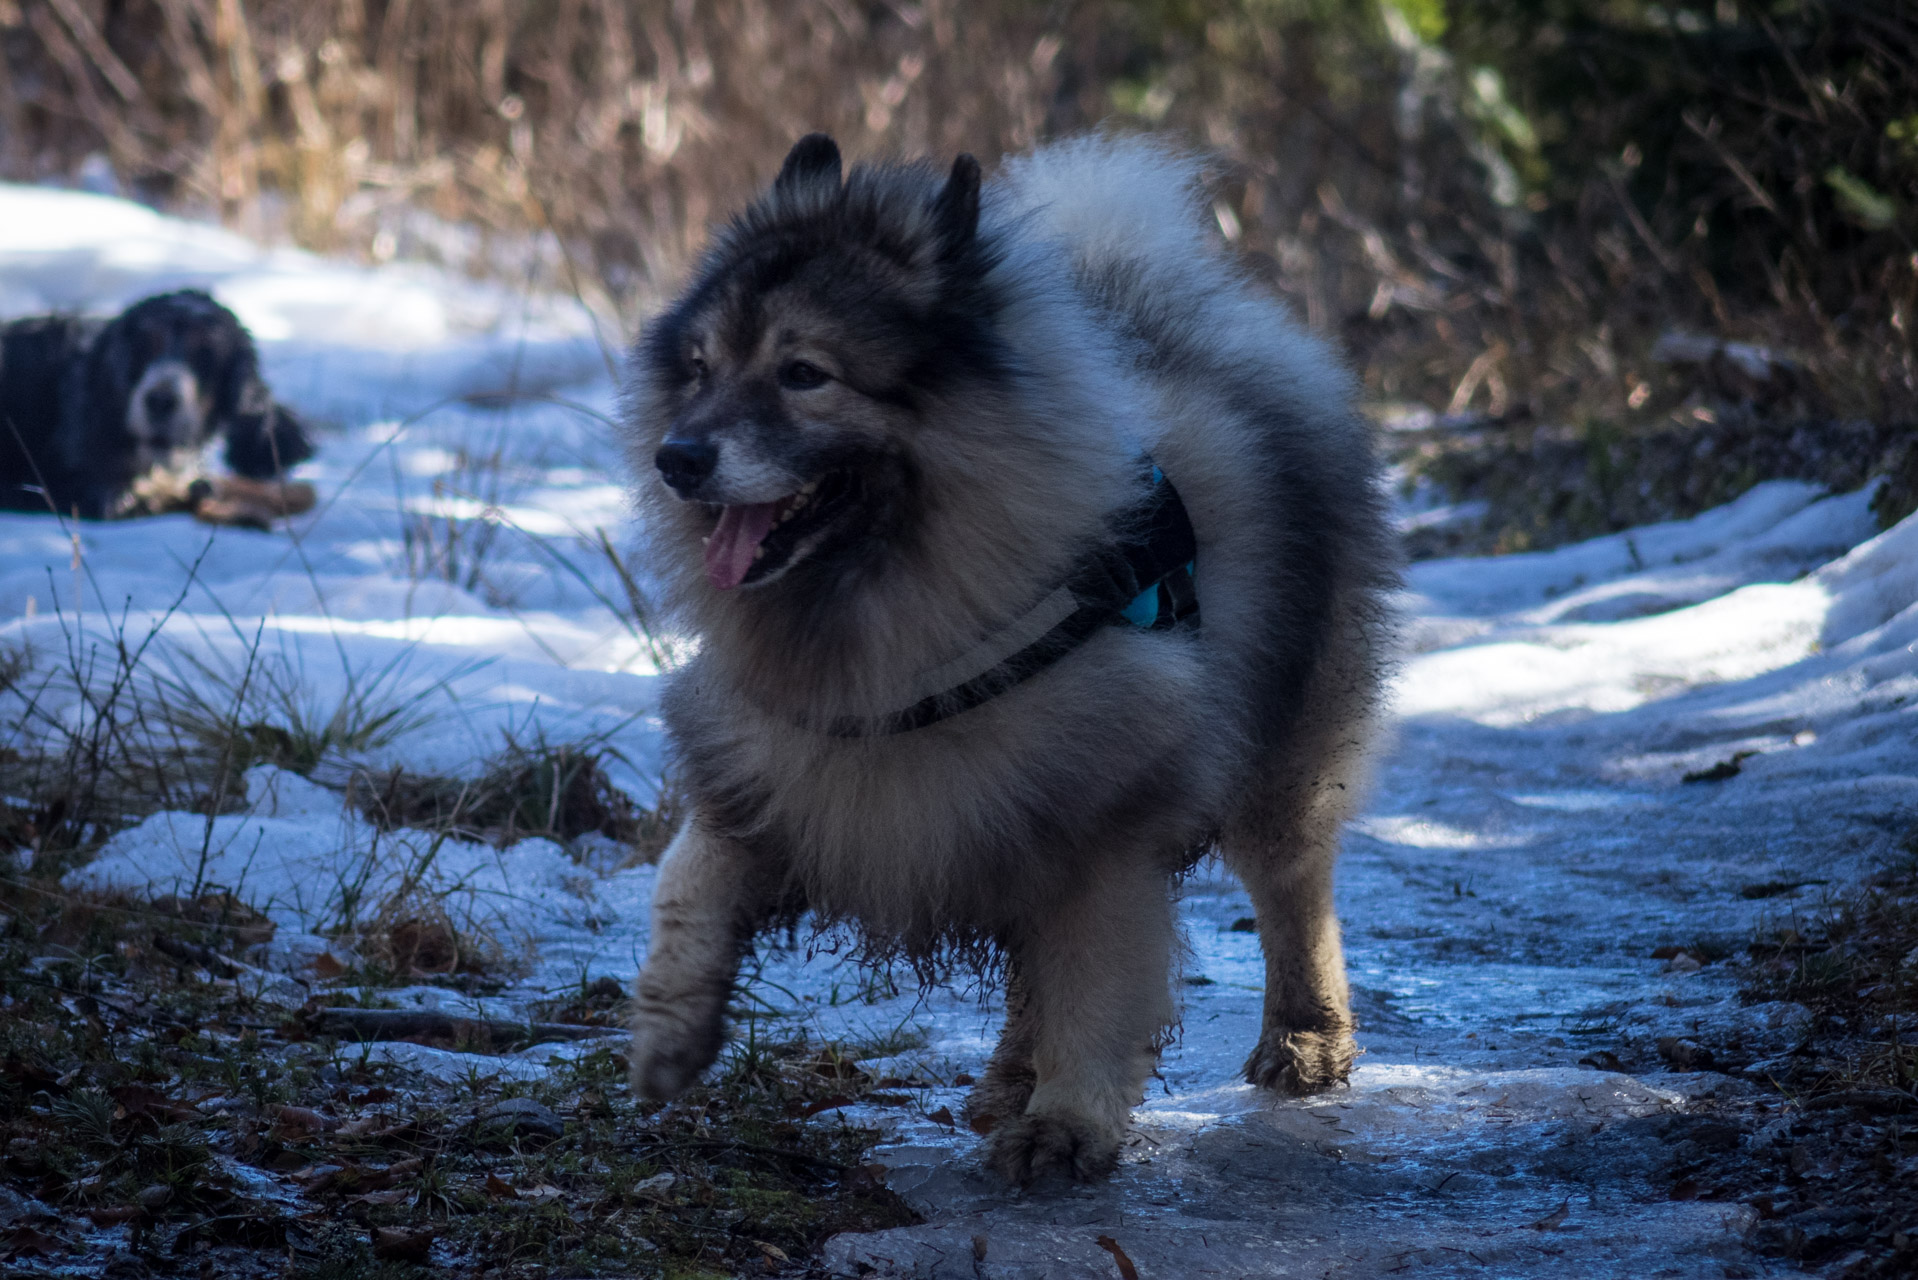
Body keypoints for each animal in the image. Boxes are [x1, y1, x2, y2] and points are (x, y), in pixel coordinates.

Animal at [625, 130, 1396, 1182]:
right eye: (700, 368)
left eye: (804, 373)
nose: (678, 457)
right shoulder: (777, 770)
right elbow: (686, 884)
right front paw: (668, 1030)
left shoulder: (1103, 833)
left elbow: (1095, 989)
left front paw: (1067, 1124)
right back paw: (1004, 1081)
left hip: (1281, 751)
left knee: (1293, 890)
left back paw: (1304, 1036)